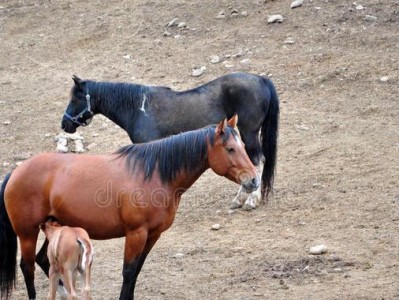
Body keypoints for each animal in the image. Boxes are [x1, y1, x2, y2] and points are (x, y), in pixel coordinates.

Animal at [0, 115, 256, 300]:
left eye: (243, 145)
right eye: (230, 149)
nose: (253, 180)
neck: (154, 175)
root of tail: (16, 172)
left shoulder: (152, 235)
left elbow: (136, 272)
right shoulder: (136, 234)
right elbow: (128, 272)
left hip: (54, 227)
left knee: (44, 261)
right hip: (27, 233)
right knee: (27, 267)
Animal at [63, 72, 282, 209]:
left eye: (75, 99)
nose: (65, 124)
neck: (139, 109)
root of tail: (261, 79)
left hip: (249, 133)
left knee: (257, 161)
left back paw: (250, 200)